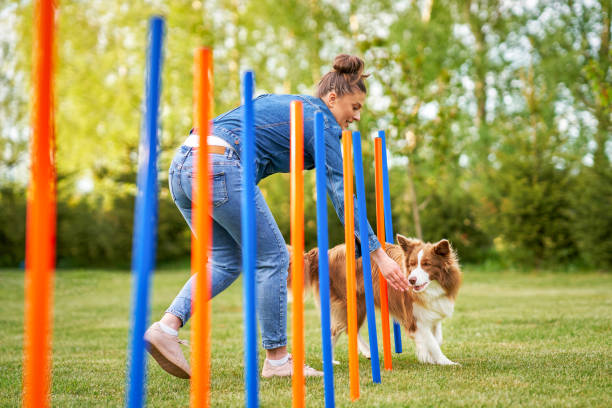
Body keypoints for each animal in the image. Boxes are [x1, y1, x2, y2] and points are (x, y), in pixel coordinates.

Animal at [290, 234, 460, 364]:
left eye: (426, 264)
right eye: (411, 264)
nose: (411, 280)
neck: (431, 287)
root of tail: (325, 254)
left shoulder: (432, 311)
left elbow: (437, 338)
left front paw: (427, 355)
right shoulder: (414, 318)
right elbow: (432, 342)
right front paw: (445, 361)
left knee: (347, 329)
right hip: (352, 303)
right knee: (338, 329)